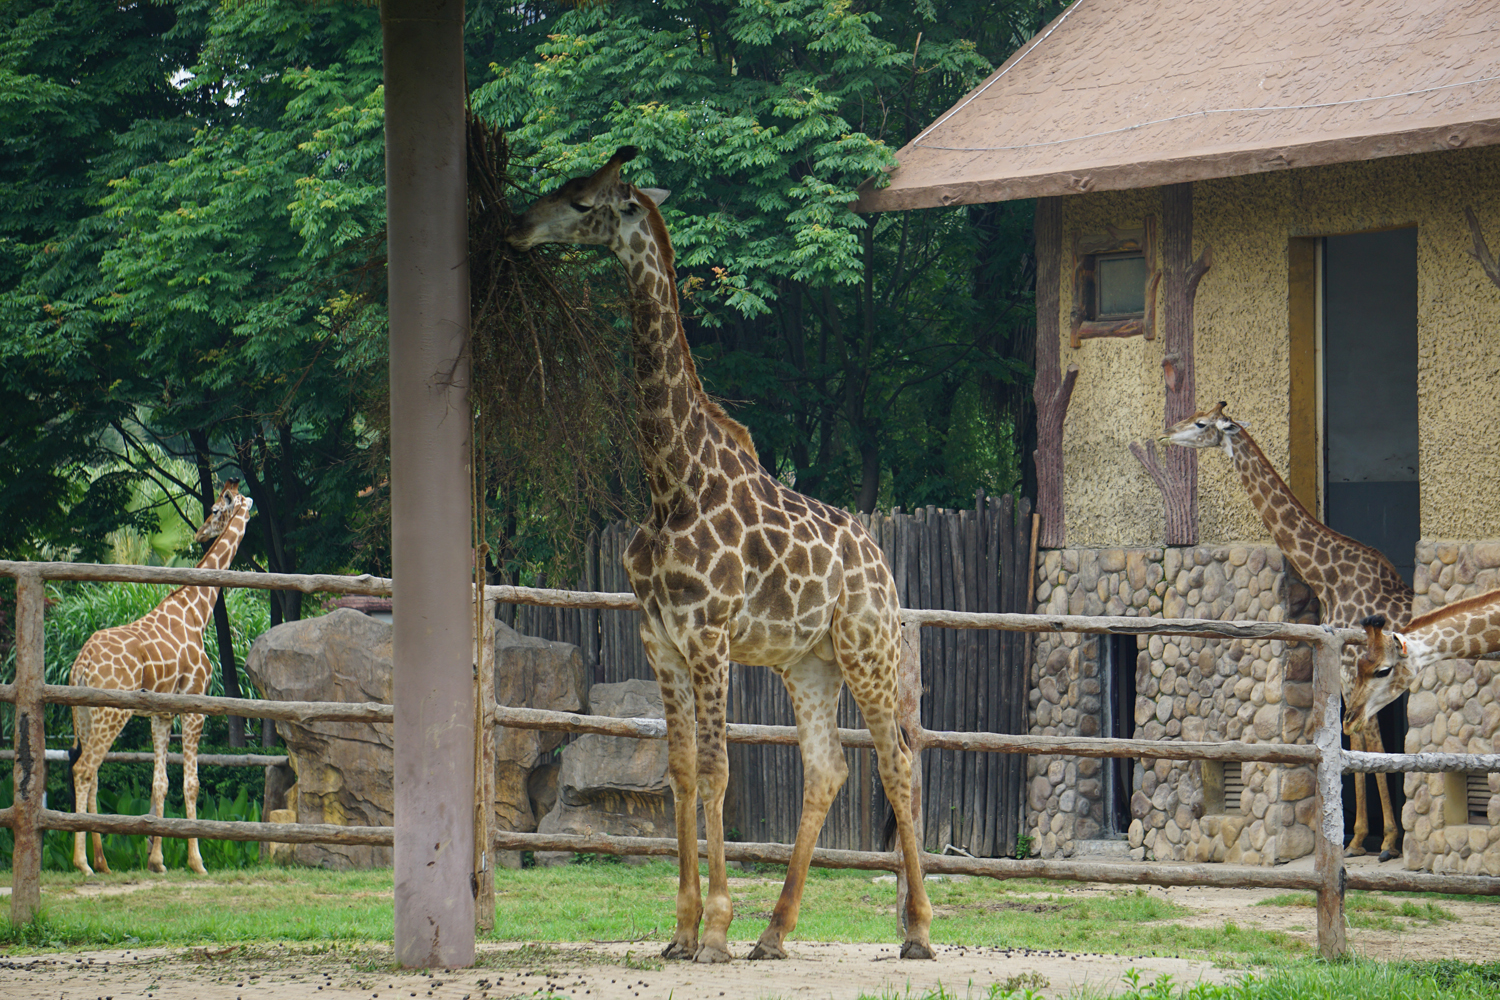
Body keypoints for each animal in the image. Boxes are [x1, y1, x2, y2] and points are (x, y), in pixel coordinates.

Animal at [69, 479, 255, 876]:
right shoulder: (194, 704)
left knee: (93, 775)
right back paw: (83, 863)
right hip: (111, 713)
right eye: (216, 509)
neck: (197, 611)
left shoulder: (161, 713)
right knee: (84, 770)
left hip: (86, 715)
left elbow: (160, 783)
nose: (200, 533)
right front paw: (196, 861)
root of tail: (81, 665)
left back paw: (102, 861)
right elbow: (191, 783)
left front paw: (156, 860)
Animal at [507, 147, 933, 962]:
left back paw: (919, 932)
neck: (673, 481)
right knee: (828, 768)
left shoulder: (709, 635)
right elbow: (678, 771)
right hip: (808, 663)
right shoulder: (661, 639)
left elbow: (715, 771)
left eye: (582, 200)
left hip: (867, 648)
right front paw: (681, 929)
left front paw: (715, 931)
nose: (516, 227)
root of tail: (883, 563)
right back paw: (775, 932)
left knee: (897, 761)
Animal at [1162, 401, 1413, 860]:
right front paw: (1357, 840)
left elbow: (1371, 745)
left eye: (1202, 422)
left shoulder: (1357, 669)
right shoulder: (1347, 677)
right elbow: (1355, 746)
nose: (1167, 432)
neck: (1328, 576)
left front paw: (1385, 841)